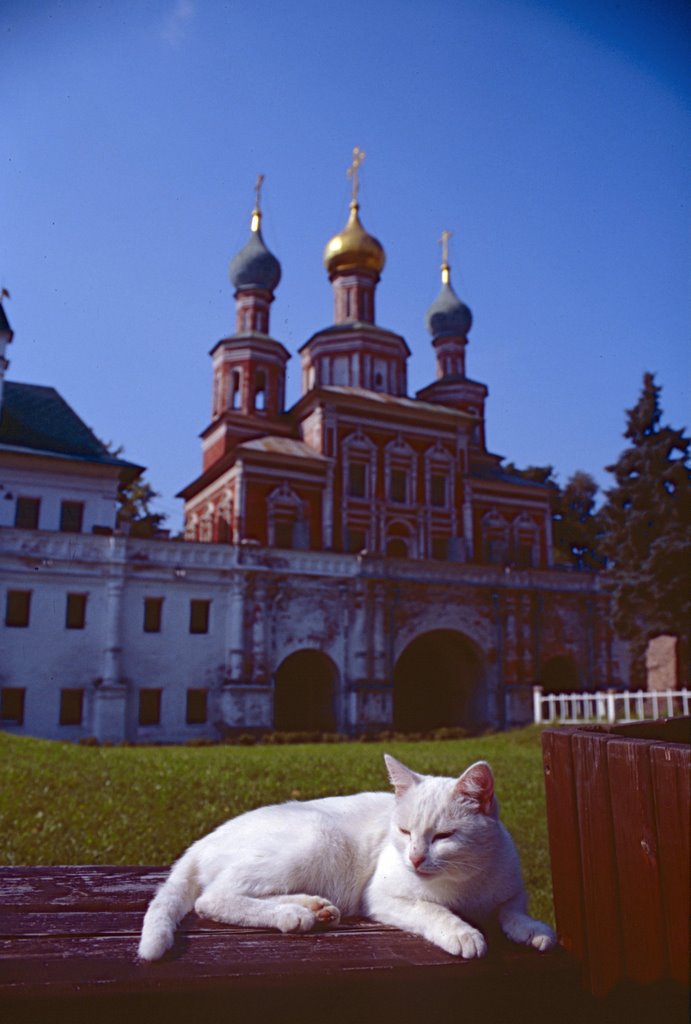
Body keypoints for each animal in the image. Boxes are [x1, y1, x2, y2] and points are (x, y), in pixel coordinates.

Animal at [139, 753, 556, 958]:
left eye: (443, 836)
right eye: (405, 832)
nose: (415, 859)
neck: (464, 881)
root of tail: (204, 840)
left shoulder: (513, 888)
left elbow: (512, 911)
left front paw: (533, 931)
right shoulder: (383, 896)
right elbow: (432, 910)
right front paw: (463, 933)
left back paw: (314, 908)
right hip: (316, 838)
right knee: (212, 899)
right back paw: (293, 916)